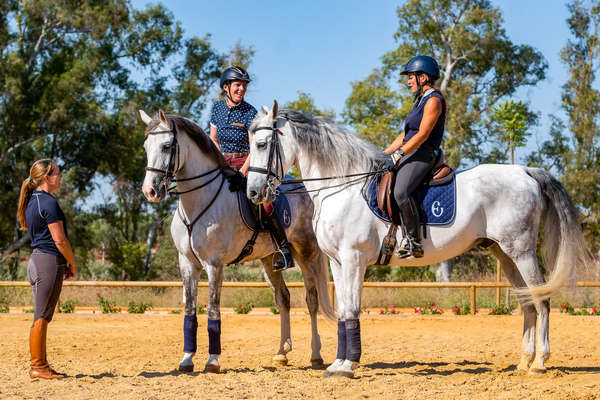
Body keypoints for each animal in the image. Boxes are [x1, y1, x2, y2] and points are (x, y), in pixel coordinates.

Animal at [142, 108, 338, 372]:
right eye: (145, 146)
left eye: (165, 146)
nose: (149, 192)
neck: (198, 202)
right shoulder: (187, 263)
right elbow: (190, 309)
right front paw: (187, 359)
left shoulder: (214, 265)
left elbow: (213, 309)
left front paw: (212, 361)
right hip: (269, 259)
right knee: (283, 299)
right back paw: (281, 353)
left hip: (306, 253)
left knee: (311, 299)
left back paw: (315, 355)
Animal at [245, 103, 592, 378]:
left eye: (262, 143)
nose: (253, 192)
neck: (341, 186)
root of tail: (525, 171)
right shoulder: (338, 262)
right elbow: (344, 311)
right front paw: (339, 364)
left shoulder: (354, 259)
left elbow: (353, 308)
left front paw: (347, 366)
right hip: (504, 255)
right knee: (528, 303)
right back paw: (524, 361)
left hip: (521, 251)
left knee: (542, 299)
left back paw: (540, 363)